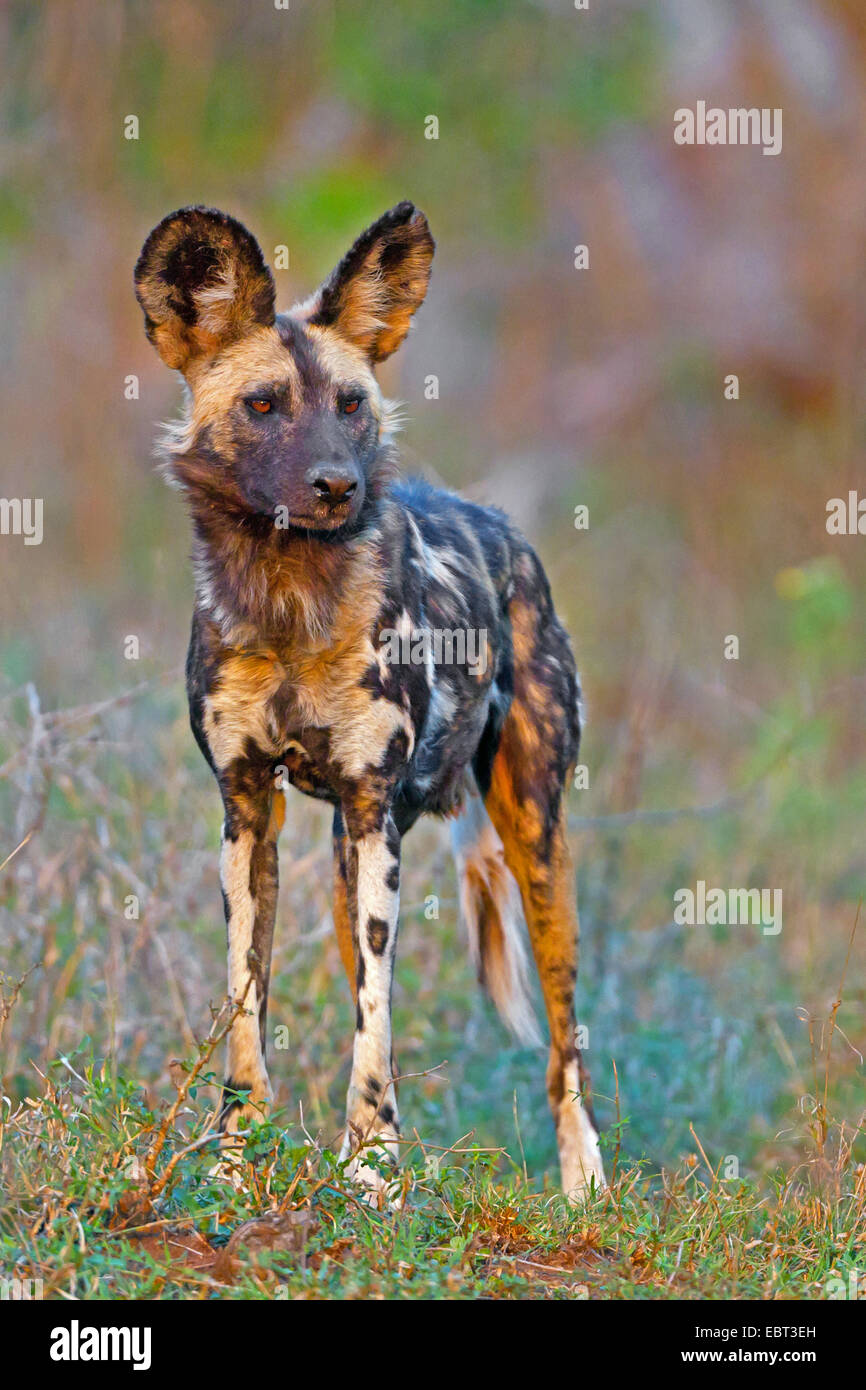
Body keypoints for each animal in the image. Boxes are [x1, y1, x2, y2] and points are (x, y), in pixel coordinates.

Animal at [135, 201, 606, 1200]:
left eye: (351, 404)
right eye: (263, 405)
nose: (336, 486)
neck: (289, 601)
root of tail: (506, 529)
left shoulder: (371, 809)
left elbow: (377, 1018)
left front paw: (375, 1166)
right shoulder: (248, 813)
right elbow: (247, 1004)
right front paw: (238, 1158)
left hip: (532, 838)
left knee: (562, 1035)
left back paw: (585, 1178)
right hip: (353, 859)